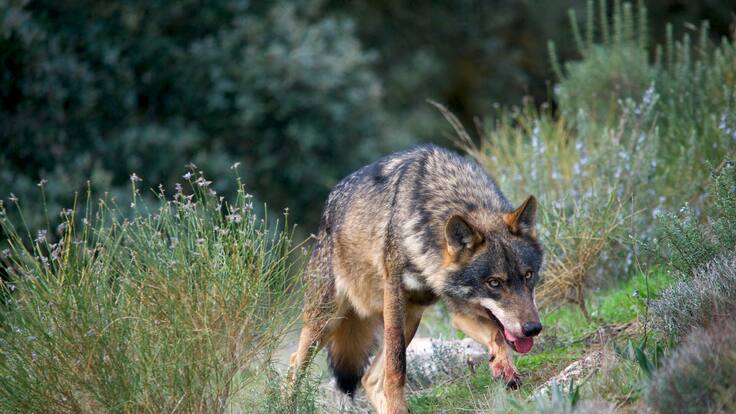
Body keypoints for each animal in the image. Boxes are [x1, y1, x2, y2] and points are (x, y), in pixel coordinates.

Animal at [288, 145, 543, 414]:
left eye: (528, 275)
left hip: (411, 317)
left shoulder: (459, 310)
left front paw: (504, 367)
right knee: (295, 364)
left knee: (369, 379)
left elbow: (497, 335)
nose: (533, 329)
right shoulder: (394, 295)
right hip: (328, 321)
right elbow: (397, 367)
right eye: (494, 283)